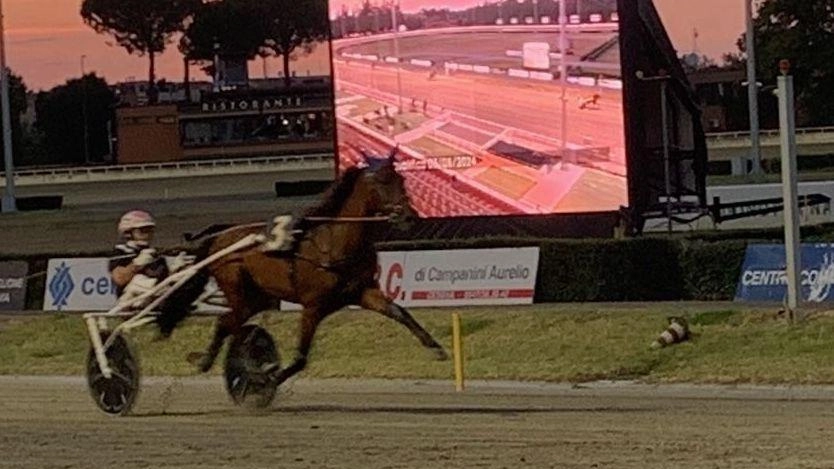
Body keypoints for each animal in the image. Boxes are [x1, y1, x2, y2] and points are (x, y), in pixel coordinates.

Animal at [179, 152, 446, 386]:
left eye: (401, 180)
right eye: (382, 181)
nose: (409, 217)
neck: (335, 243)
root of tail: (218, 238)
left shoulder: (361, 291)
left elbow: (399, 312)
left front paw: (436, 347)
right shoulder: (313, 306)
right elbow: (300, 358)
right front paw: (268, 379)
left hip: (258, 297)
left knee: (226, 322)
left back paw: (205, 360)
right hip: (237, 287)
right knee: (229, 323)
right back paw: (216, 361)